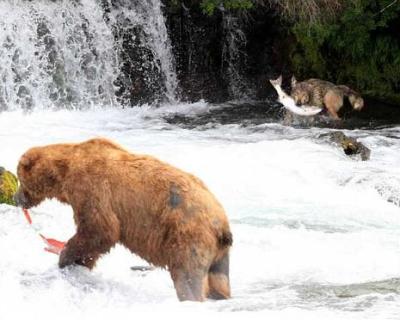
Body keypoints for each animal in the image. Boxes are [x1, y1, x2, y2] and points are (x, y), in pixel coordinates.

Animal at [14, 137, 233, 300]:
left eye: (19, 179)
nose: (16, 199)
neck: (65, 171)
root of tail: (221, 223)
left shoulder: (91, 188)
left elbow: (99, 230)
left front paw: (66, 258)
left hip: (186, 235)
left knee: (186, 277)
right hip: (219, 254)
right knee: (219, 280)